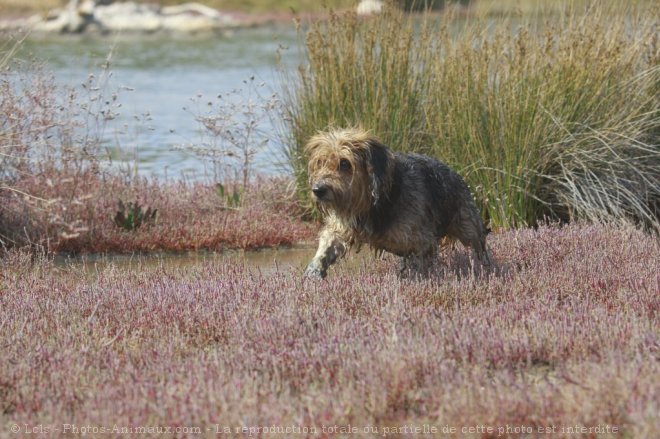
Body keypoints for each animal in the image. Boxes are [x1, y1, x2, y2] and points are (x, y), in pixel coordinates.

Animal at [304, 127, 490, 278]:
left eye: (344, 163)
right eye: (320, 162)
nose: (318, 190)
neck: (374, 204)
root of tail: (455, 173)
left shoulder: (421, 241)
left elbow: (420, 263)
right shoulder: (343, 225)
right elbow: (329, 241)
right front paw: (314, 270)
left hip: (468, 224)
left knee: (478, 246)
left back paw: (485, 266)